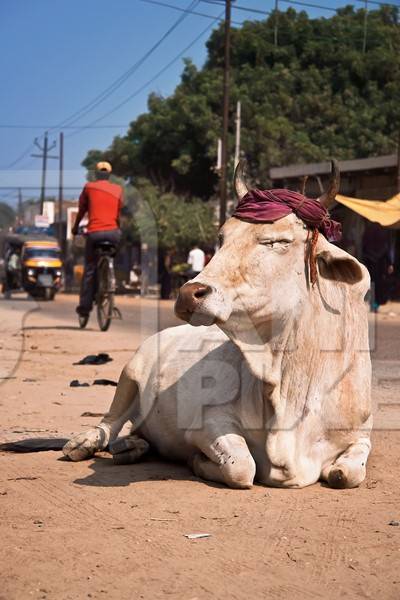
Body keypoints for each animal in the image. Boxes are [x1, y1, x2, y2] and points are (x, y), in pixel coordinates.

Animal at [62, 162, 372, 490]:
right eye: (222, 238)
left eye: (278, 241)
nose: (188, 294)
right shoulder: (208, 422)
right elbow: (242, 467)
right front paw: (197, 462)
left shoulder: (361, 436)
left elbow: (347, 474)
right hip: (130, 373)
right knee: (110, 422)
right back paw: (85, 443)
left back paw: (134, 446)